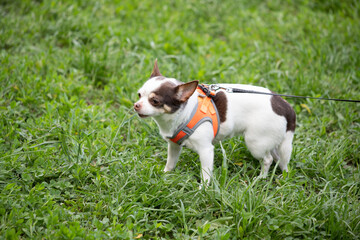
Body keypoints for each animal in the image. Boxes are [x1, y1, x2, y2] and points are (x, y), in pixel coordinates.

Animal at [134, 59, 296, 186]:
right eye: (139, 94)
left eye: (155, 101)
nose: (136, 105)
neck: (183, 112)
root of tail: (286, 106)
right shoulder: (174, 146)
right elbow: (171, 162)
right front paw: (165, 175)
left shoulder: (206, 150)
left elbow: (205, 174)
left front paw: (203, 190)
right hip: (270, 141)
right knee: (278, 158)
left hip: (255, 143)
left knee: (268, 159)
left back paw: (261, 178)